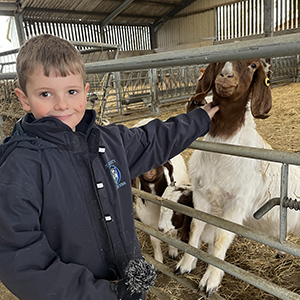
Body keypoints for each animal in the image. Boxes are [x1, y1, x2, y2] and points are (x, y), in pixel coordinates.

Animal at [175, 59, 300, 296]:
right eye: (216, 63)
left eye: (252, 66)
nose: (225, 76)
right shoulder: (201, 194)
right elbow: (196, 227)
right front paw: (186, 263)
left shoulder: (237, 202)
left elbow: (222, 237)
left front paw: (210, 281)